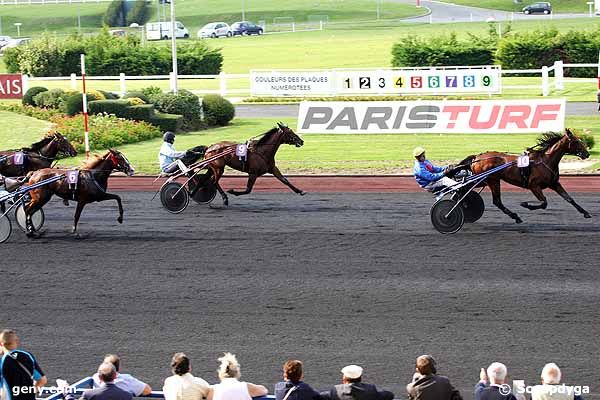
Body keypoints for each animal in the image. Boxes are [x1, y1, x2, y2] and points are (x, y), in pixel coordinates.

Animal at [460, 129, 592, 223]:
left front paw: (586, 212)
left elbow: (569, 198)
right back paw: (515, 216)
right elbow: (544, 203)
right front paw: (526, 204)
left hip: (484, 180)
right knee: (496, 201)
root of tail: (477, 157)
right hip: (492, 180)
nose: (587, 154)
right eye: (576, 141)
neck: (545, 161)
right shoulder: (534, 186)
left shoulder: (554, 183)